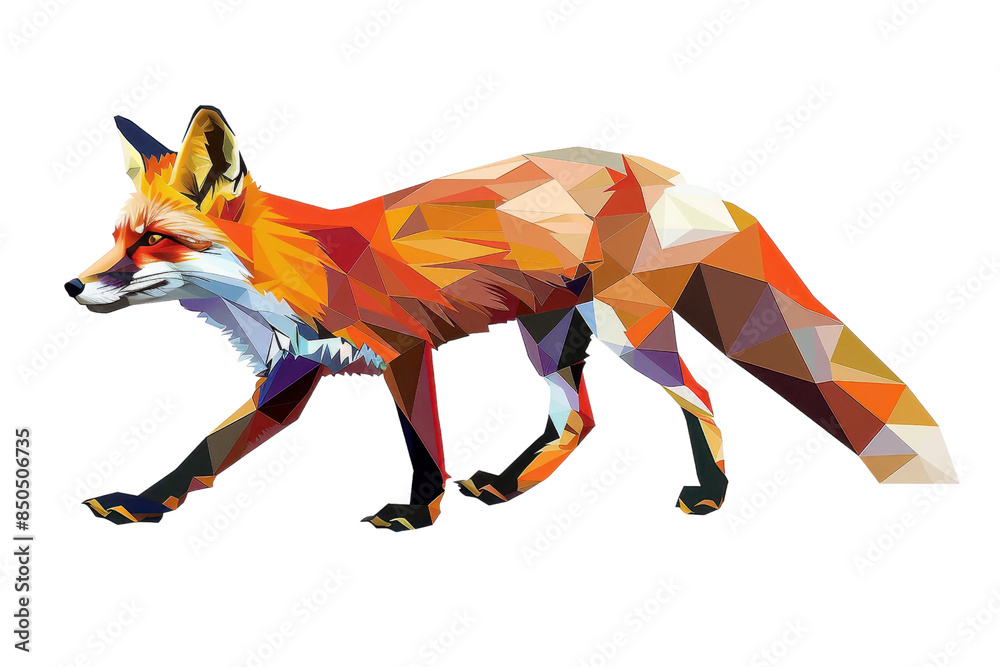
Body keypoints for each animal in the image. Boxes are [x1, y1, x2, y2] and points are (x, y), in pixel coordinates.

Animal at [65, 106, 957, 531]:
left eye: (151, 241)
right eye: (116, 235)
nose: (72, 287)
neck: (297, 270)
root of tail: (671, 173)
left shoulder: (402, 350)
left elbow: (422, 444)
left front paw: (417, 513)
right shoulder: (294, 370)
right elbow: (203, 452)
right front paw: (144, 502)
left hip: (629, 335)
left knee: (700, 396)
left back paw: (712, 493)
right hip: (550, 336)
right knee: (580, 418)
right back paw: (508, 483)